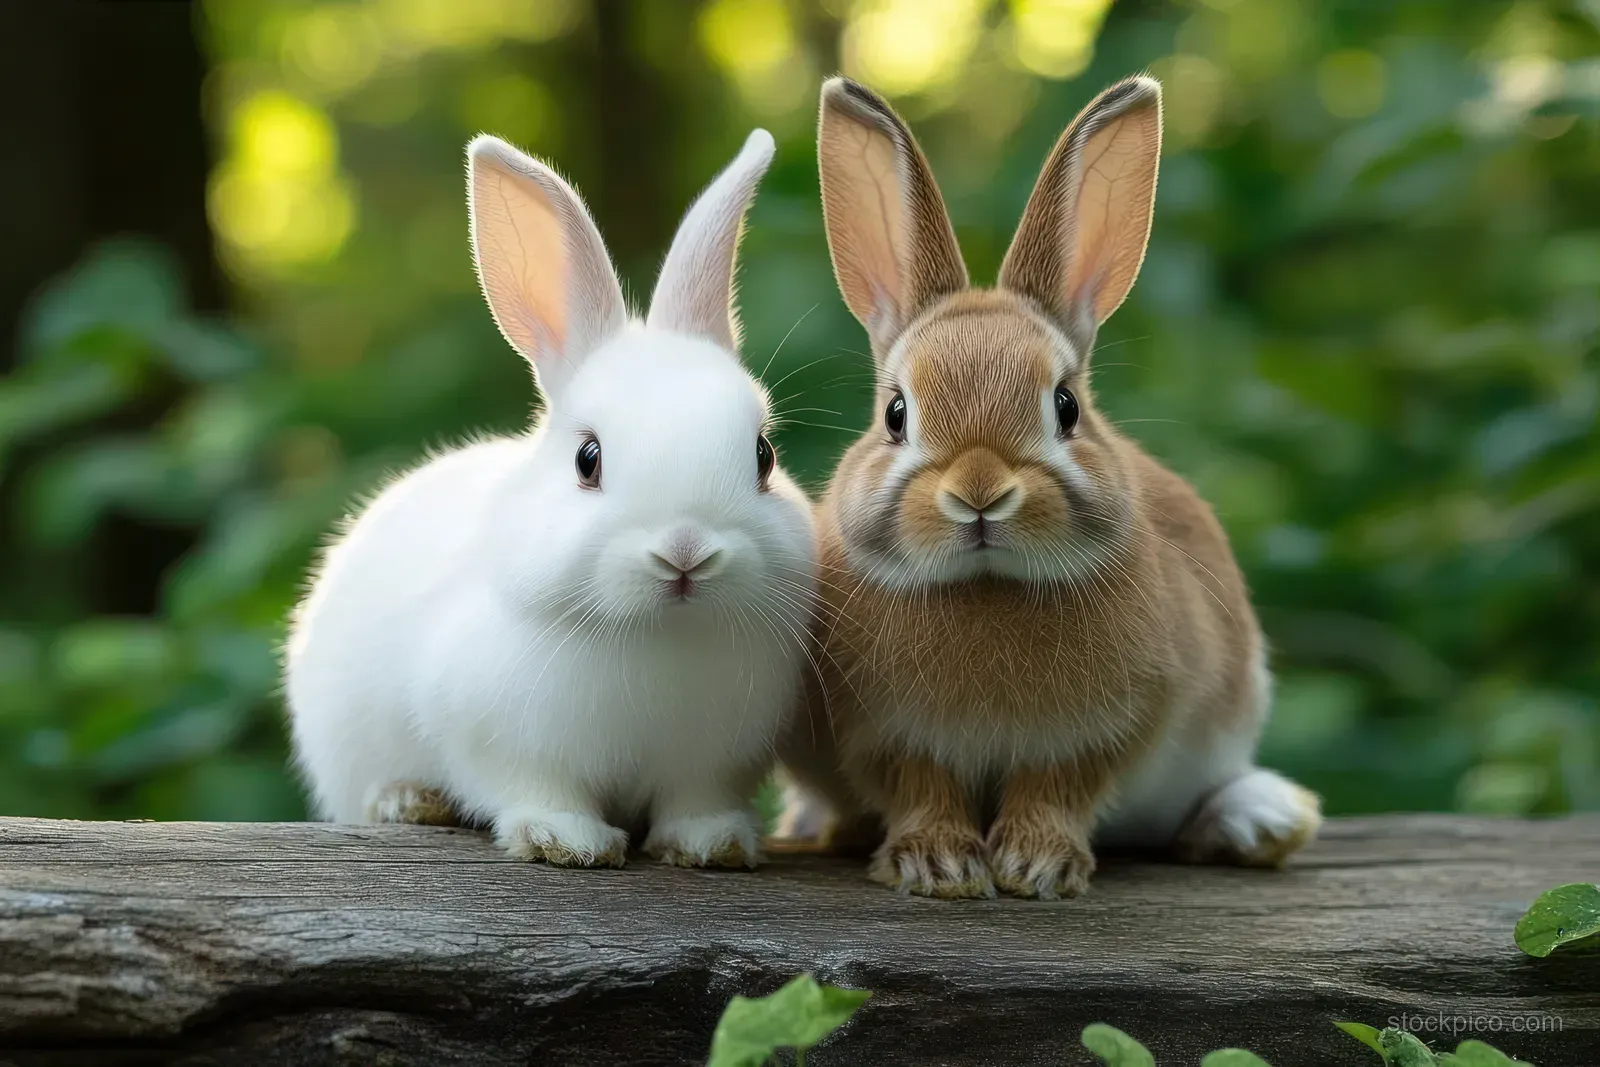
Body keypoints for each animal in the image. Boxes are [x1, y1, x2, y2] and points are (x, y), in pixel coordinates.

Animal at [285, 128, 817, 869]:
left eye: (763, 456)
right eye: (586, 461)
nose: (685, 552)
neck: (658, 635)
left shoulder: (711, 764)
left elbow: (695, 803)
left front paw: (711, 846)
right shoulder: (501, 741)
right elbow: (536, 791)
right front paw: (566, 842)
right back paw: (408, 801)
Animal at [774, 75, 1322, 898]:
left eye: (1065, 406)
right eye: (896, 414)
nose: (979, 493)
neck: (987, 586)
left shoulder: (1104, 732)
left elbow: (1055, 790)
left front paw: (1035, 866)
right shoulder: (882, 736)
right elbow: (923, 788)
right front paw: (939, 865)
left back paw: (1260, 821)